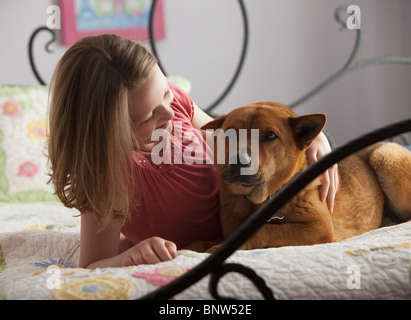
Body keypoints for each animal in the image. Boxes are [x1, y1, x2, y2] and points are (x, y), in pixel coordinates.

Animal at [192, 101, 411, 251]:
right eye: (230, 132)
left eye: (270, 135)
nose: (239, 161)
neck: (258, 200)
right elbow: (204, 241)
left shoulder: (319, 228)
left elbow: (263, 231)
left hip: (385, 156)